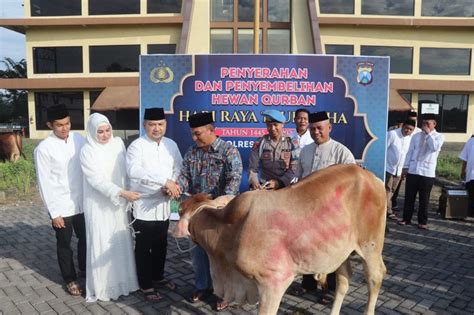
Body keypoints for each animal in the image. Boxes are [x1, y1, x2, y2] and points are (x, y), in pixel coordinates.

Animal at [176, 164, 386, 315]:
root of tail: (372, 176)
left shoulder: (273, 282)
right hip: (341, 251)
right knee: (343, 281)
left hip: (370, 246)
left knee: (375, 277)